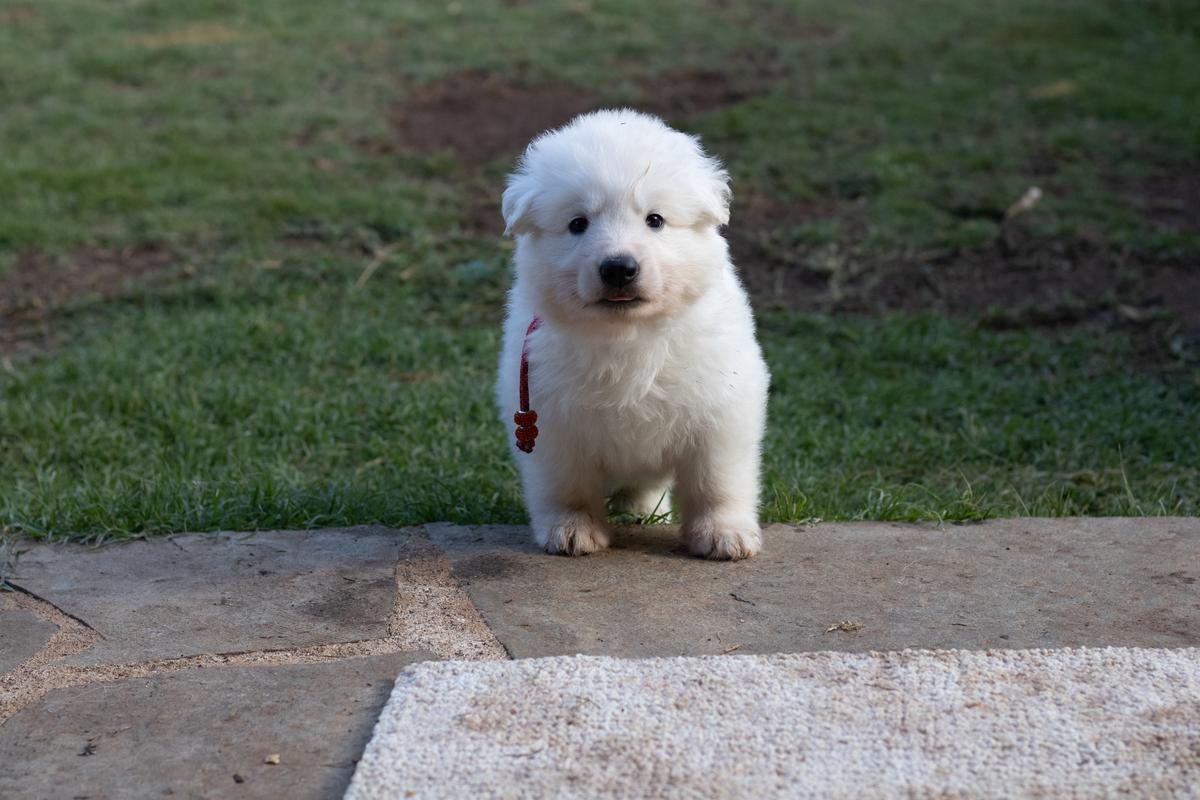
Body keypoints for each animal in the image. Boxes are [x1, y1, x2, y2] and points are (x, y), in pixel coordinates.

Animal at [494, 109, 768, 561]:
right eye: (578, 223)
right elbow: (567, 486)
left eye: (654, 219)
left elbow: (715, 481)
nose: (618, 268)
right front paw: (573, 529)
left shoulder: (720, 408)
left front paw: (723, 533)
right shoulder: (550, 418)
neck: (628, 334)